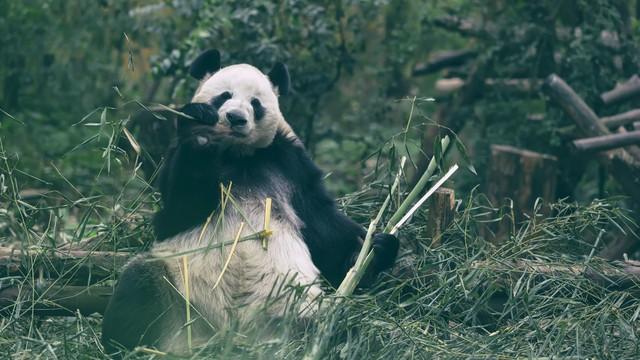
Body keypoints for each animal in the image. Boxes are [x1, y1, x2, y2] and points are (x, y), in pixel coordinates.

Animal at [102, 49, 398, 356]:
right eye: (224, 96)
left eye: (256, 104)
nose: (235, 118)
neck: (239, 154)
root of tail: (232, 339)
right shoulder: (175, 167)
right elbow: (178, 212)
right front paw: (200, 130)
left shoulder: (289, 164)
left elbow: (322, 225)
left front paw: (373, 248)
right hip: (178, 290)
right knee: (138, 287)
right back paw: (129, 348)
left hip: (301, 308)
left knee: (348, 328)